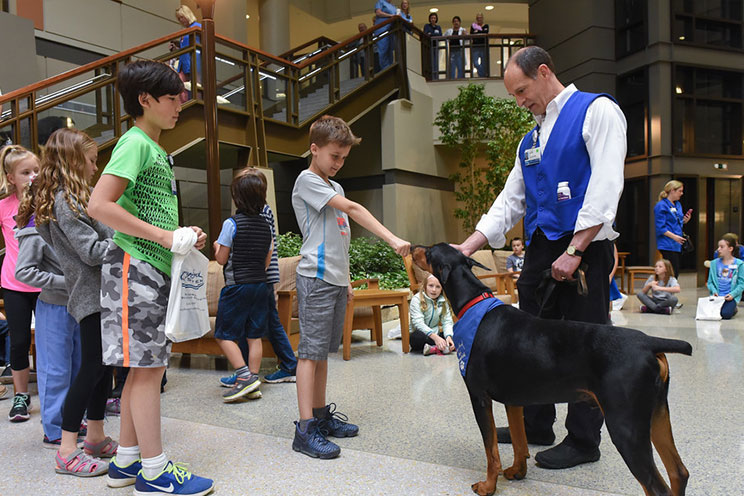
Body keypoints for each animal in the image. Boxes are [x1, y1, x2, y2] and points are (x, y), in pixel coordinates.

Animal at [410, 244, 688, 496]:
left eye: (430, 251)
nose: (412, 247)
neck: (474, 303)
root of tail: (648, 342)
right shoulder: (514, 400)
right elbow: (519, 440)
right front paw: (517, 471)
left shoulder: (479, 397)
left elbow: (492, 452)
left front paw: (489, 486)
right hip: (656, 415)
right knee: (679, 472)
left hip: (625, 426)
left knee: (657, 487)